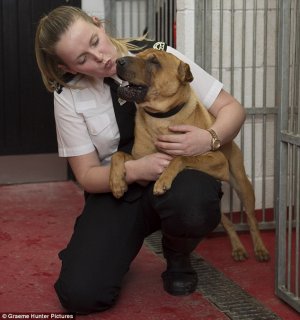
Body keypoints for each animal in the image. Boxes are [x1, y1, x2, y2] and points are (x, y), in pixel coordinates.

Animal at [109, 48, 270, 262]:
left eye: (154, 61)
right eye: (138, 54)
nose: (118, 62)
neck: (161, 118)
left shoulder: (217, 160)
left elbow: (181, 157)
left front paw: (163, 180)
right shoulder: (140, 161)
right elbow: (118, 155)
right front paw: (116, 183)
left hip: (242, 185)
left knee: (252, 220)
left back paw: (259, 248)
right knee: (227, 221)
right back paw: (237, 248)